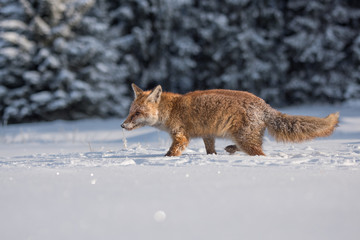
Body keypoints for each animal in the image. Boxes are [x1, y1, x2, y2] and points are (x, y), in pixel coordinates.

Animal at [122, 84, 338, 158]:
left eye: (137, 113)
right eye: (130, 112)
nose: (122, 125)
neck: (171, 110)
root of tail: (264, 105)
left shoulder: (181, 137)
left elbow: (170, 153)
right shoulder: (208, 135)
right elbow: (211, 151)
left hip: (246, 139)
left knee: (261, 154)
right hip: (247, 138)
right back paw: (231, 149)